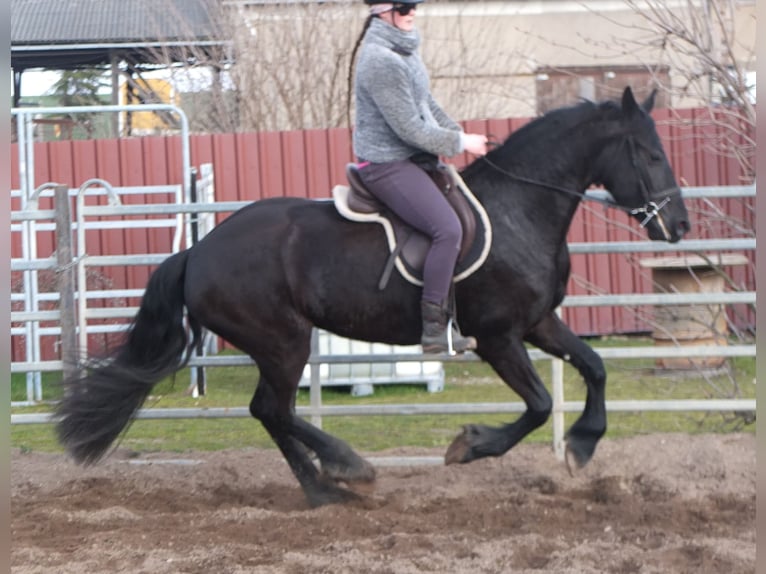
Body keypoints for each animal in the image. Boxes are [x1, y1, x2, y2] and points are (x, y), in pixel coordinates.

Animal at [55, 86, 688, 508]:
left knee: (273, 412)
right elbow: (538, 404)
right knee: (272, 410)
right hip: (283, 341)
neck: (518, 210)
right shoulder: (498, 337)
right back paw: (342, 471)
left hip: (281, 344)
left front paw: (582, 445)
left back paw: (326, 484)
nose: (678, 225)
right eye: (651, 154)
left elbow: (595, 367)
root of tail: (199, 251)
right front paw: (470, 445)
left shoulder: (538, 324)